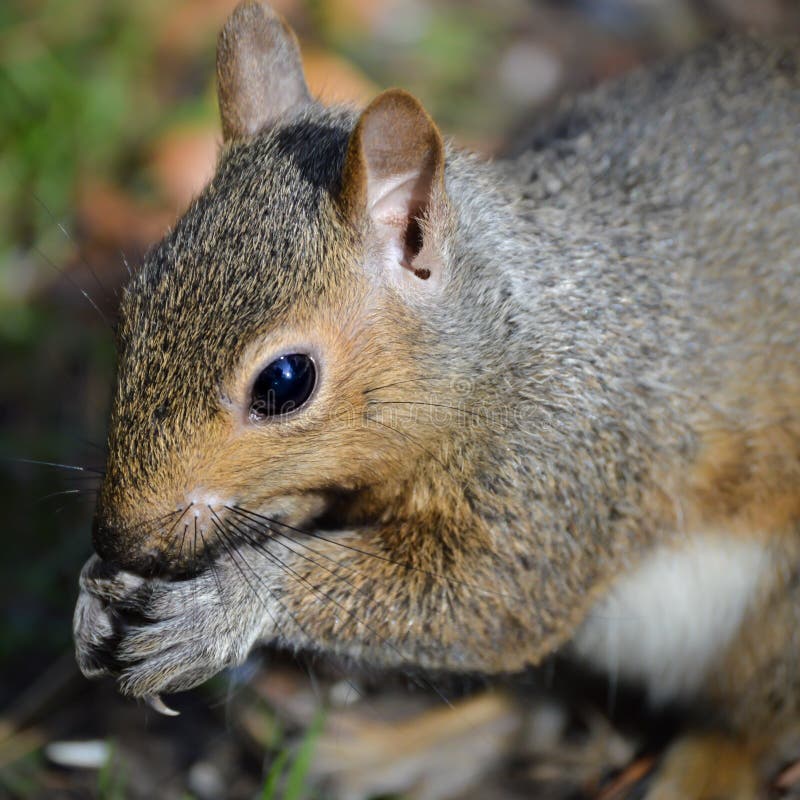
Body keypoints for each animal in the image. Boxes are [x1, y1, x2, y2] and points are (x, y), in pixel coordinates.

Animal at [72, 1, 800, 796]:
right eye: (132, 311)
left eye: (285, 382)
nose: (117, 537)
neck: (500, 350)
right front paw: (97, 592)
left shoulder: (561, 464)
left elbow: (483, 600)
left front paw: (225, 600)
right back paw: (401, 749)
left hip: (776, 623)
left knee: (743, 723)